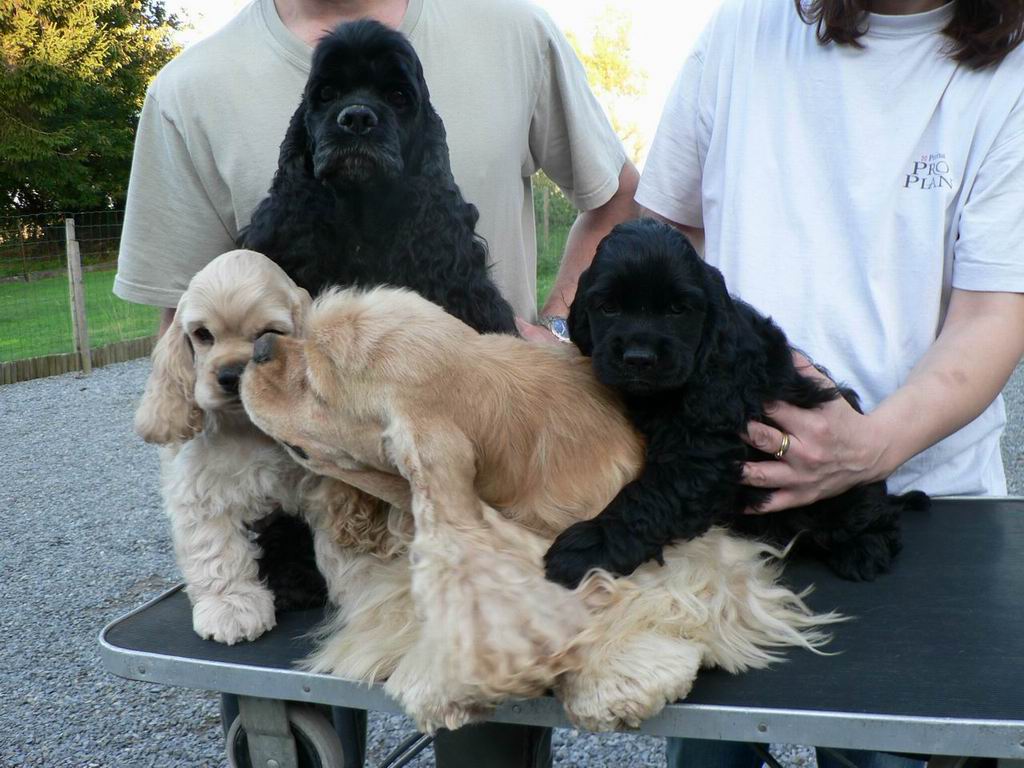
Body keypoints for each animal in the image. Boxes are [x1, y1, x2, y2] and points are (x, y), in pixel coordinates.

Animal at [134, 250, 326, 643]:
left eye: (269, 334)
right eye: (202, 334)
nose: (231, 375)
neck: (247, 426)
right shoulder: (201, 490)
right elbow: (215, 550)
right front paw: (231, 609)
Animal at [239, 285, 841, 733]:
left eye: (316, 384)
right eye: (299, 335)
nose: (259, 348)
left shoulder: (697, 550)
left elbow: (640, 599)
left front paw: (613, 682)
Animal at [543, 219, 929, 590]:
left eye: (678, 310)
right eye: (608, 307)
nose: (639, 358)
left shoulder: (702, 447)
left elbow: (649, 495)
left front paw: (588, 546)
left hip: (845, 483)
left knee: (871, 513)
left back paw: (865, 550)